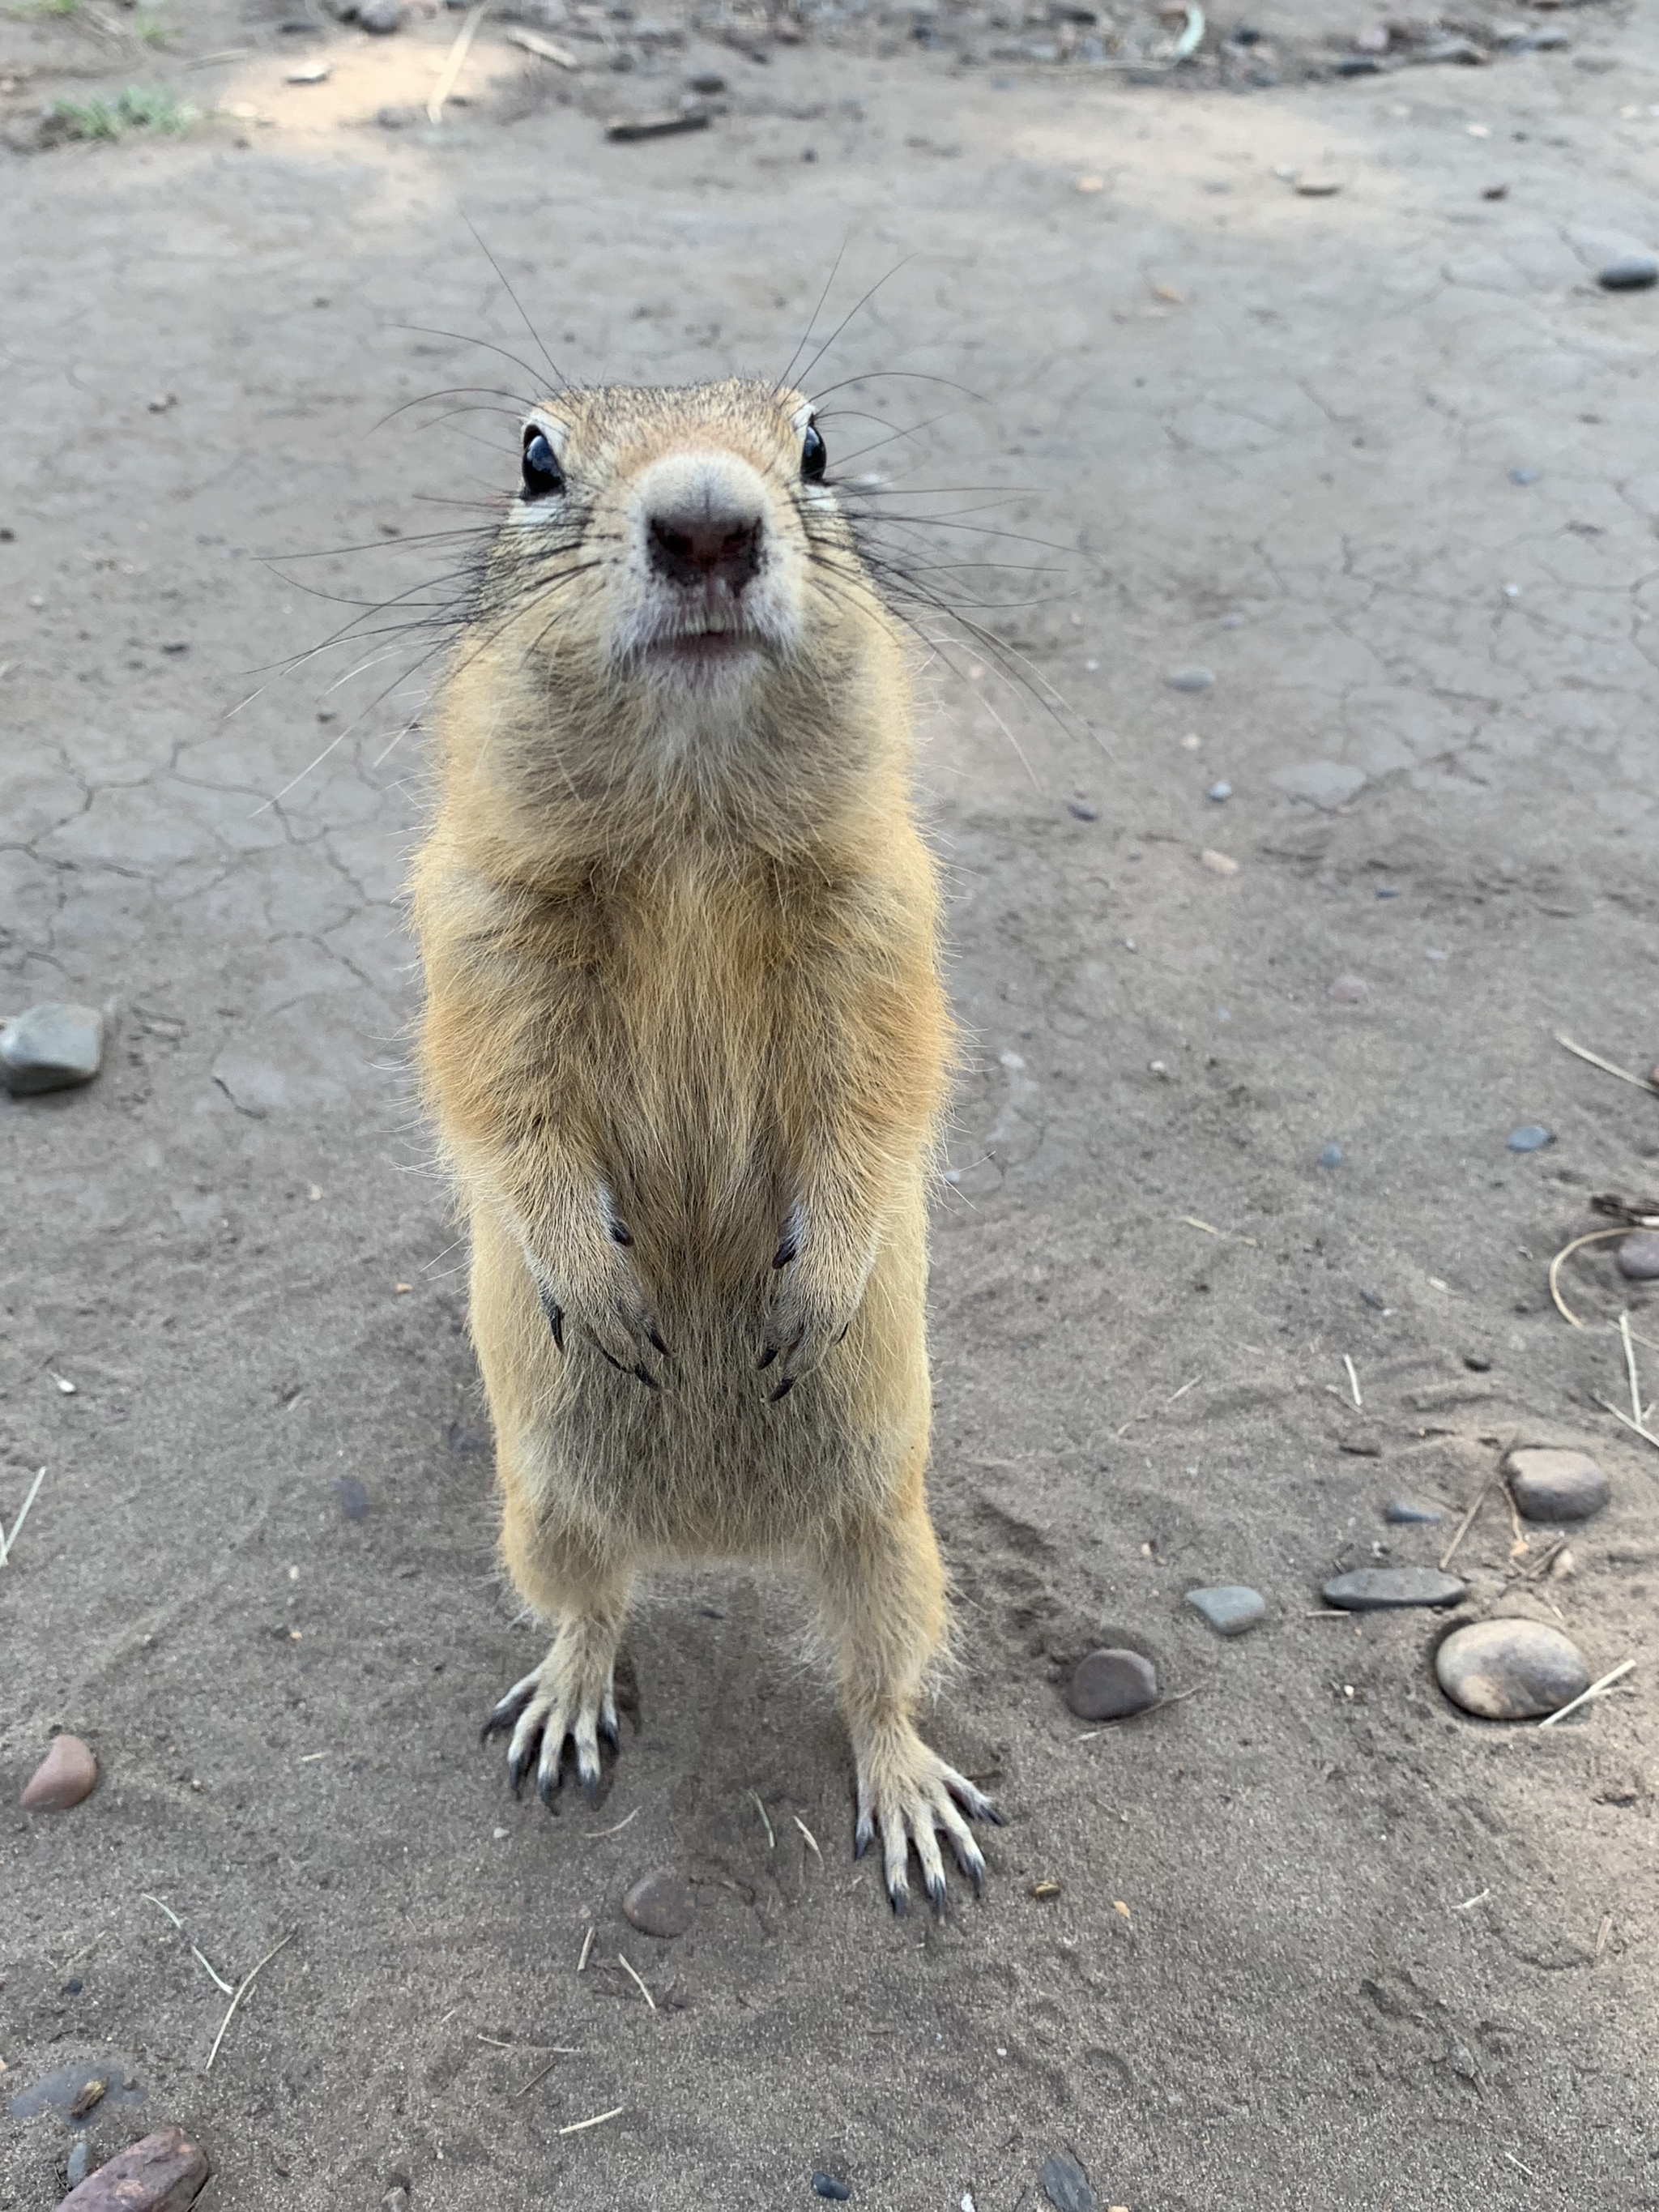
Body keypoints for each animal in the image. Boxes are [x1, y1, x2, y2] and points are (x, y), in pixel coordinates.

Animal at [413, 371, 1000, 1911]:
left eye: (815, 446)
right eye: (533, 456)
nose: (704, 523)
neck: (687, 833)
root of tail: (715, 1543)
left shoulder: (884, 915)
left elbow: (879, 1099)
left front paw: (814, 1286)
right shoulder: (476, 926)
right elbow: (502, 1106)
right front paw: (603, 1287)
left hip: (890, 1532)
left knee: (875, 1678)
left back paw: (911, 1799)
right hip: (544, 1510)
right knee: (593, 1607)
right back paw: (565, 1699)